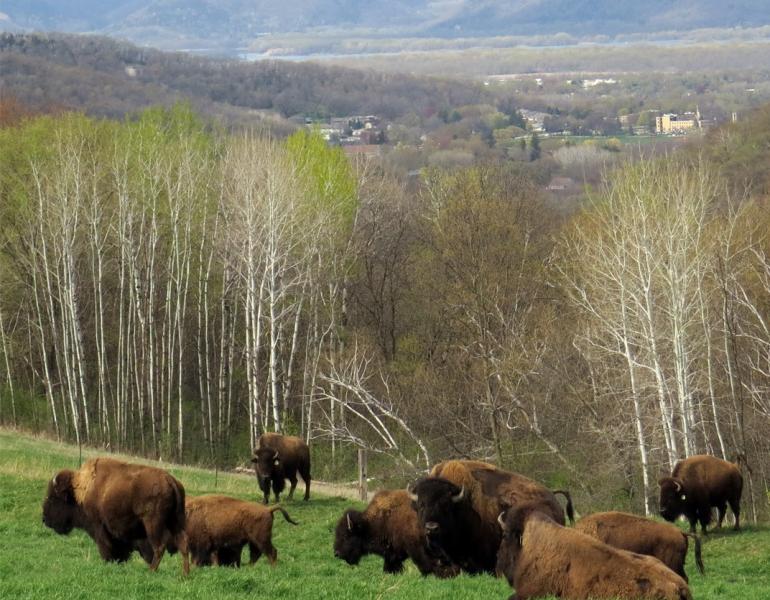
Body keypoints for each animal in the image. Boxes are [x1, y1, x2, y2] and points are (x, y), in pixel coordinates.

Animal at [42, 457, 189, 574]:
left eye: (53, 498)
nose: (44, 519)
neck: (81, 490)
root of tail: (170, 480)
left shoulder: (99, 526)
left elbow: (105, 545)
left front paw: (108, 561)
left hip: (153, 523)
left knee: (159, 546)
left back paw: (152, 570)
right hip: (175, 520)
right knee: (183, 542)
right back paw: (185, 574)